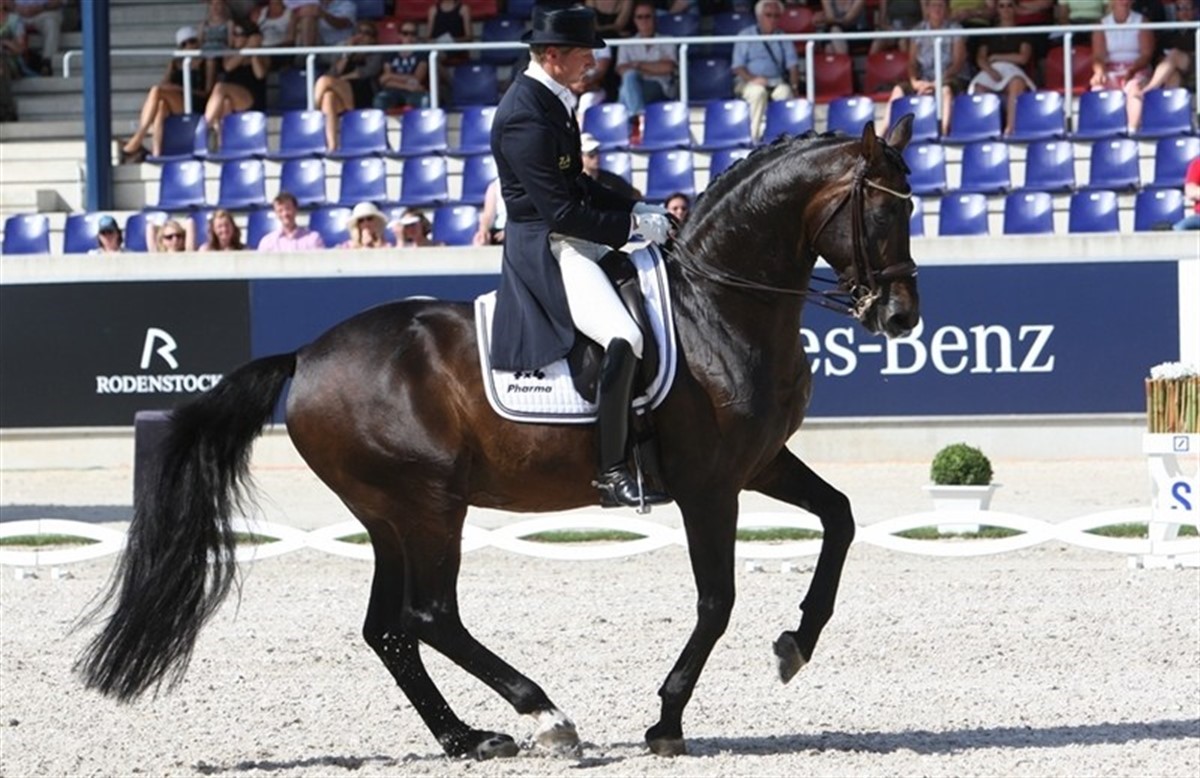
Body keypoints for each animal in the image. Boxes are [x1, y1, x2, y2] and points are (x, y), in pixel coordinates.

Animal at [77, 116, 919, 760]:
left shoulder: (759, 462)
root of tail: (307, 356)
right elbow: (717, 601)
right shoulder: (708, 486)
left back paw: (468, 738)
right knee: (429, 616)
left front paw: (797, 642)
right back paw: (545, 716)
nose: (901, 317)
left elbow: (841, 517)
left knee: (389, 629)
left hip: (387, 515)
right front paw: (667, 720)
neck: (718, 307)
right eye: (884, 214)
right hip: (428, 505)